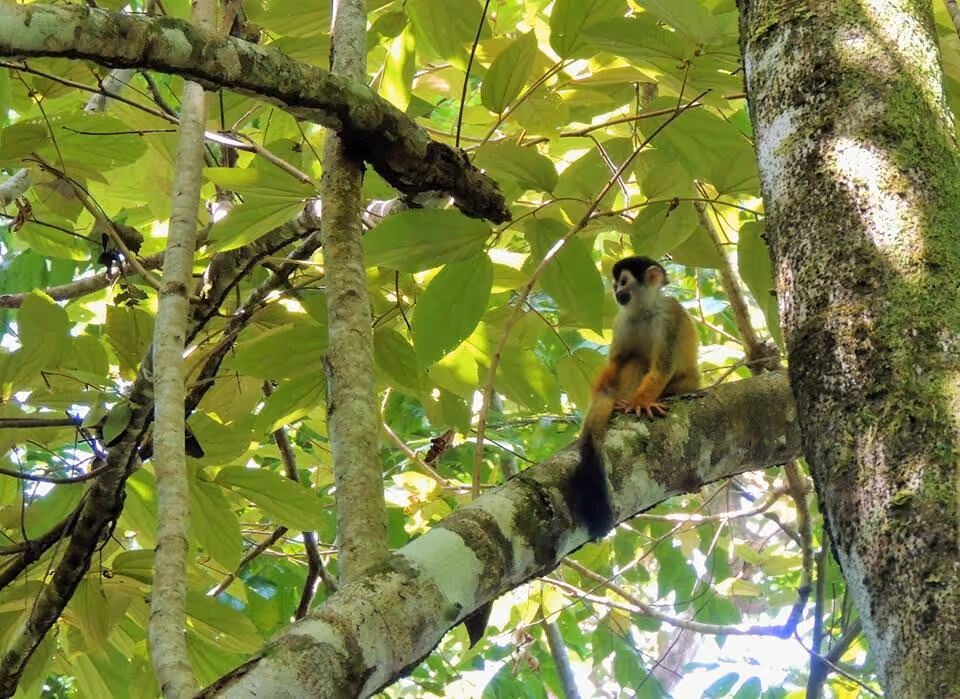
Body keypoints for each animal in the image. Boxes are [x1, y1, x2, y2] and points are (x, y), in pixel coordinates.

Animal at [569, 256, 700, 539]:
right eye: (615, 283)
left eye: (624, 281)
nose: (617, 291)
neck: (643, 311)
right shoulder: (622, 321)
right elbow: (617, 364)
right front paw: (605, 400)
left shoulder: (669, 315)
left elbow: (662, 366)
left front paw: (642, 403)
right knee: (633, 360)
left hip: (689, 380)